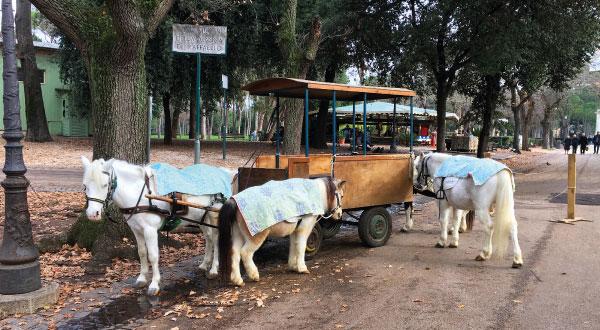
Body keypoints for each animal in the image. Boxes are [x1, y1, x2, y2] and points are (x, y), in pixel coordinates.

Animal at [81, 156, 236, 296]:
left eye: (104, 185)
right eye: (85, 186)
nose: (92, 214)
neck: (141, 194)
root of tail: (223, 172)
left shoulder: (150, 230)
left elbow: (153, 255)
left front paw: (154, 284)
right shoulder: (136, 230)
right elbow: (142, 253)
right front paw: (142, 278)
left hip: (214, 216)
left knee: (215, 240)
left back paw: (214, 269)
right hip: (200, 217)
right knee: (208, 238)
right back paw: (204, 264)